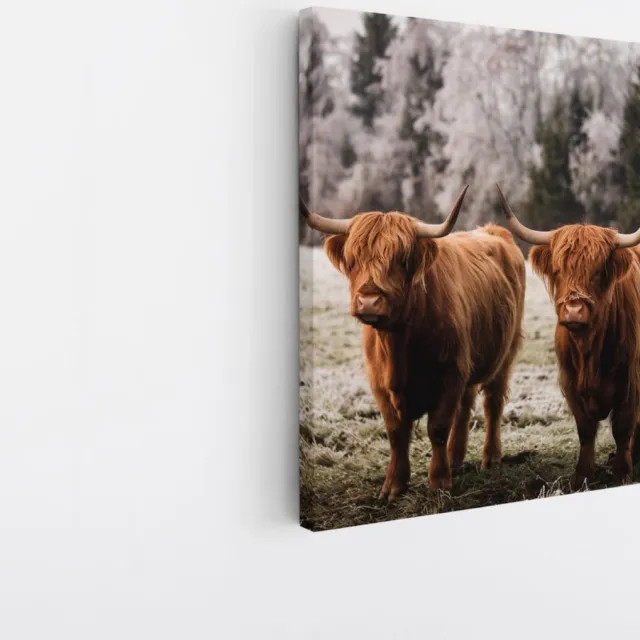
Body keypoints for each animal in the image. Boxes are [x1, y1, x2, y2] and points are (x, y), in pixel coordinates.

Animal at [300, 187, 526, 499]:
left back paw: (490, 458)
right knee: (466, 403)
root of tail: (494, 231)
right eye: (353, 258)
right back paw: (456, 457)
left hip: (506, 351)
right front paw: (394, 485)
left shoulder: (449, 374)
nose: (368, 300)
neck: (399, 346)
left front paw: (439, 481)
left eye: (401, 259)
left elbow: (438, 428)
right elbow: (396, 433)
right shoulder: (380, 383)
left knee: (492, 402)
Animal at [495, 183, 640, 489]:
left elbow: (623, 427)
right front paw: (582, 475)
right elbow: (585, 429)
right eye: (558, 270)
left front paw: (622, 473)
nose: (574, 311)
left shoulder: (630, 379)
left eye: (598, 271)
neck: (589, 350)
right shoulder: (570, 381)